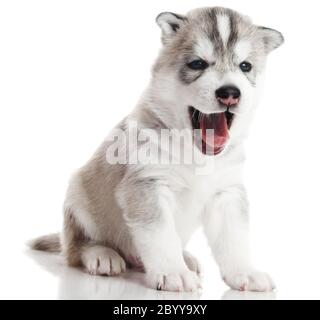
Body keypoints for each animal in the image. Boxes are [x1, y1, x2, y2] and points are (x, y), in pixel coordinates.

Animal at [31, 7, 284, 292]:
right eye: (197, 64)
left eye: (245, 66)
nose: (230, 92)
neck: (197, 155)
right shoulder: (148, 185)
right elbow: (161, 235)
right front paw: (174, 272)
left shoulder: (226, 193)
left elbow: (235, 239)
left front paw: (245, 272)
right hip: (78, 195)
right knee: (75, 248)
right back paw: (102, 254)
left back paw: (185, 257)